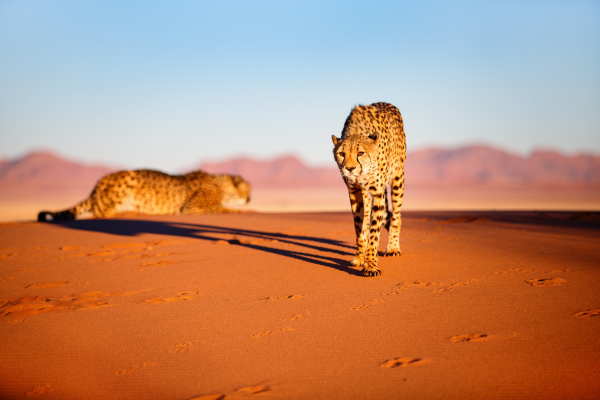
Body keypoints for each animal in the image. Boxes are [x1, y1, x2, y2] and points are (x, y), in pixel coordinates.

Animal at [332, 102, 408, 276]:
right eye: (341, 154)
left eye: (360, 153)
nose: (349, 168)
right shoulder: (354, 192)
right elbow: (359, 226)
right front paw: (360, 258)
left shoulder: (378, 193)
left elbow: (374, 232)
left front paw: (371, 265)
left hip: (398, 177)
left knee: (396, 216)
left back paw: (393, 247)